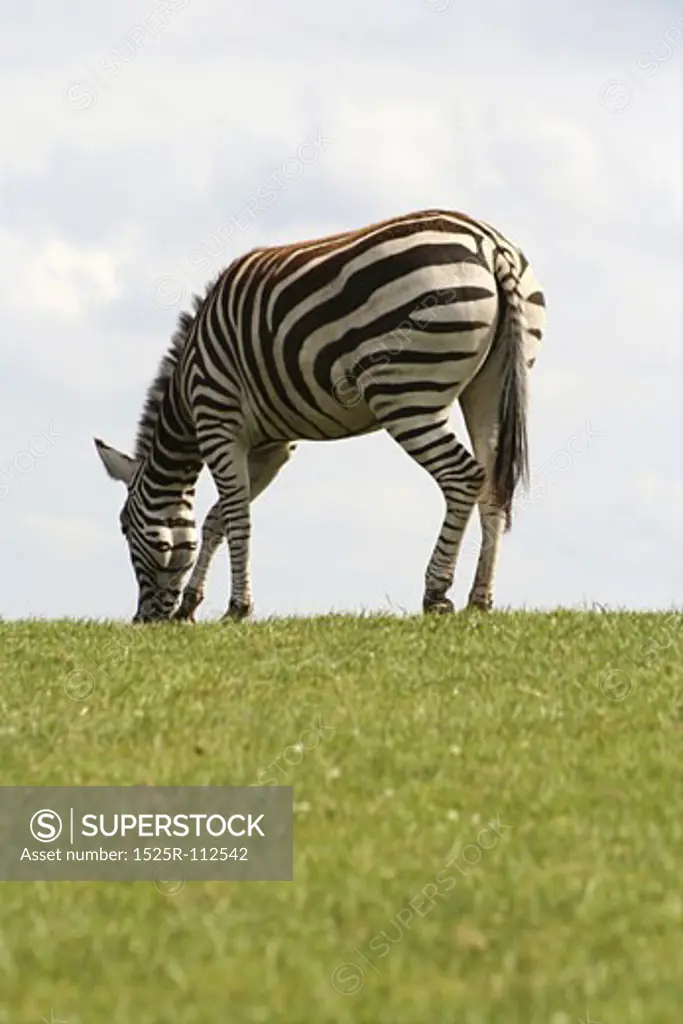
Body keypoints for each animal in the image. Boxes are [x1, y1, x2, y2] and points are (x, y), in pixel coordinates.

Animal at [94, 206, 544, 618]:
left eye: (123, 527)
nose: (143, 621)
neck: (188, 393)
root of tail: (488, 244)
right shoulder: (272, 447)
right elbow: (216, 519)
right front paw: (191, 604)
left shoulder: (218, 423)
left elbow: (236, 517)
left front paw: (237, 608)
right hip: (490, 386)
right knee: (493, 484)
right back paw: (479, 600)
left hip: (405, 394)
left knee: (463, 476)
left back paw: (436, 594)